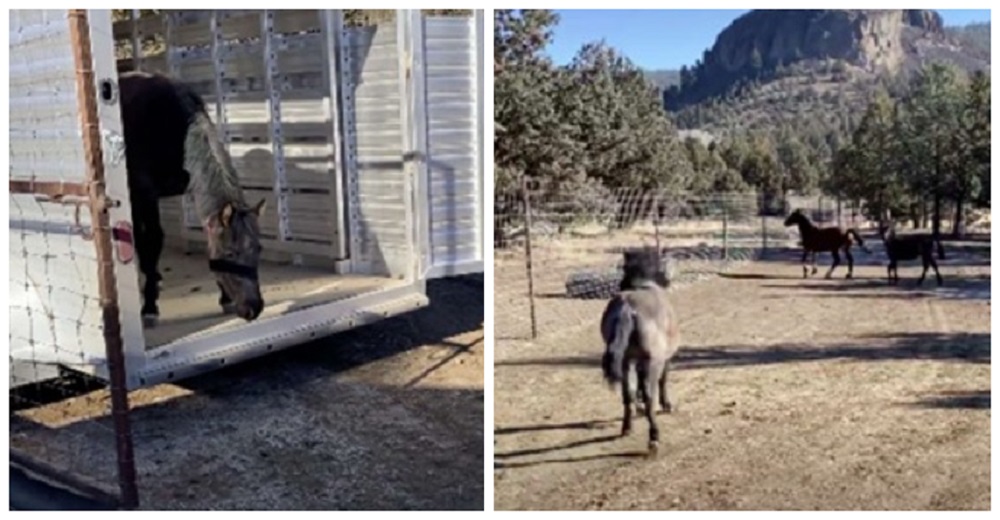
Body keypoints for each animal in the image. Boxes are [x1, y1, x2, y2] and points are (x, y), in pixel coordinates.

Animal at [118, 71, 266, 328]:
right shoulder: (144, 194)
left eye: (258, 249)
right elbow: (152, 240)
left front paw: (225, 299)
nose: (253, 308)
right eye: (230, 253)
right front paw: (149, 308)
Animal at [600, 250, 680, 458]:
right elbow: (663, 380)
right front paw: (667, 404)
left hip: (624, 362)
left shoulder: (632, 360)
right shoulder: (664, 359)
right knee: (650, 395)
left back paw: (627, 427)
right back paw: (654, 438)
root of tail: (627, 307)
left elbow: (633, 390)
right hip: (652, 362)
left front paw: (638, 407)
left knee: (626, 394)